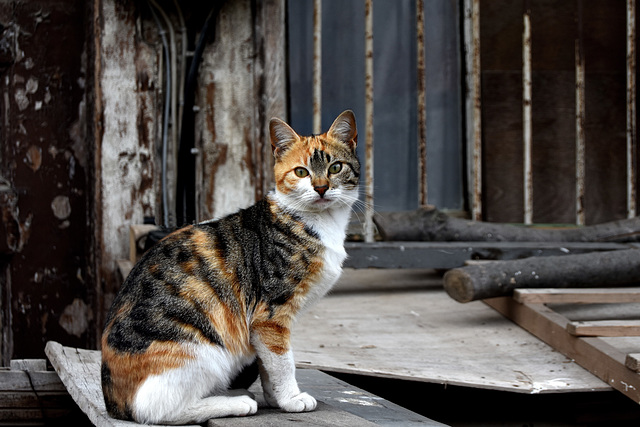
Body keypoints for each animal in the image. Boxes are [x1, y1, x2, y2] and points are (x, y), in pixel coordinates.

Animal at [100, 110, 360, 424]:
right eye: (301, 172)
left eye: (335, 167)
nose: (321, 188)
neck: (318, 223)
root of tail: (112, 401)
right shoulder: (270, 314)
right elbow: (282, 361)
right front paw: (291, 399)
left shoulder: (262, 324)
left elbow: (267, 364)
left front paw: (276, 399)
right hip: (201, 349)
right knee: (156, 409)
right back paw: (236, 402)